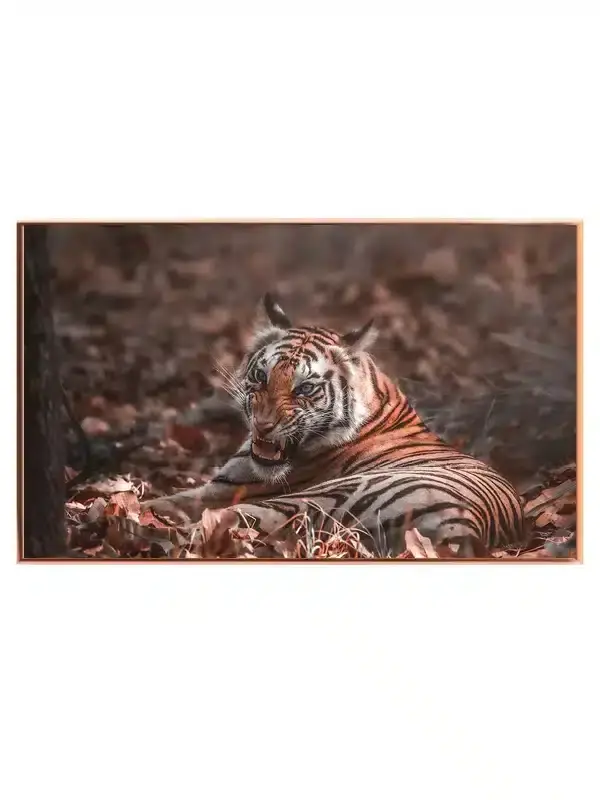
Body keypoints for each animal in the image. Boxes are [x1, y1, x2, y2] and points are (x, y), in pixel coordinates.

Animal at [144, 293, 526, 557]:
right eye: (261, 376)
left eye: (304, 388)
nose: (263, 426)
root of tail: (465, 528)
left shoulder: (229, 490)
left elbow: (162, 503)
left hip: (312, 500)